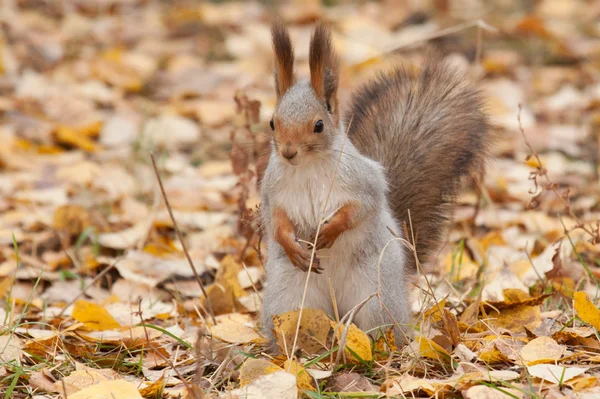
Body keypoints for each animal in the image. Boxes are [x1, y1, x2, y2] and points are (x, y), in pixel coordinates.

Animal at [260, 21, 490, 346]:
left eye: (318, 125)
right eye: (272, 123)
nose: (288, 152)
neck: (306, 168)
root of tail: (337, 308)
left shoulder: (362, 182)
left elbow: (359, 210)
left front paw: (329, 231)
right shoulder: (273, 193)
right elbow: (277, 222)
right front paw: (293, 248)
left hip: (374, 294)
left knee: (379, 328)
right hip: (289, 298)